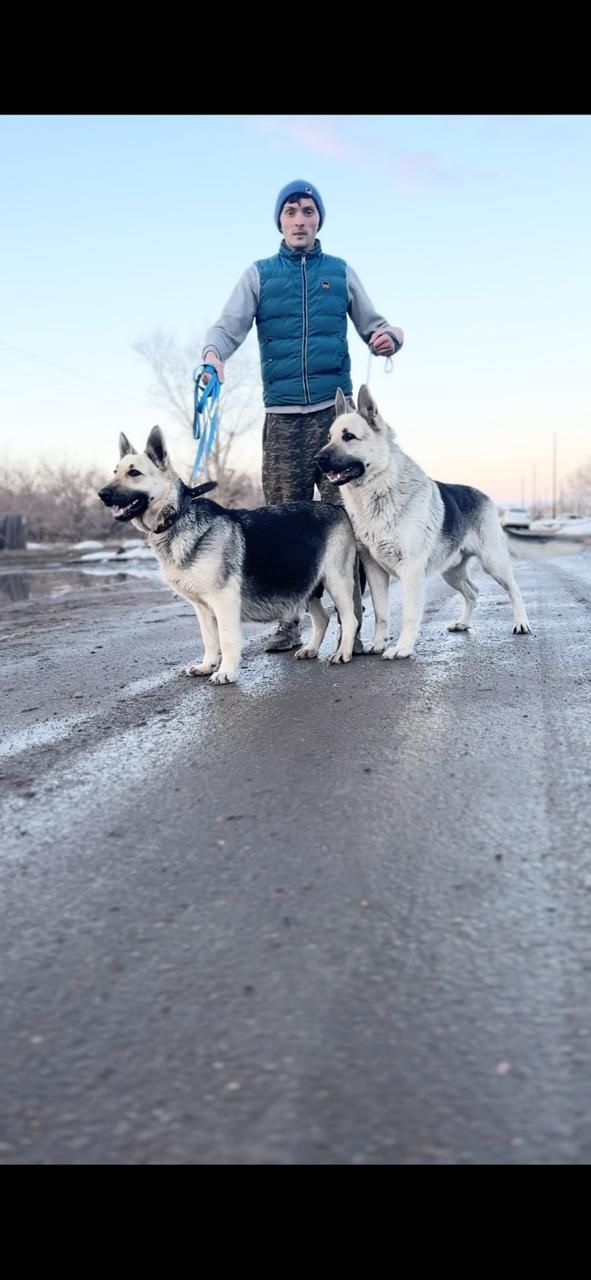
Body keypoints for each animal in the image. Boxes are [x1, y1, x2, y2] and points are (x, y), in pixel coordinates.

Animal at [97, 427, 360, 691]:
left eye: (134, 473)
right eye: (115, 472)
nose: (102, 494)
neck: (177, 517)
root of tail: (338, 508)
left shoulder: (224, 601)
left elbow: (227, 639)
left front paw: (226, 672)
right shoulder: (202, 608)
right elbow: (210, 640)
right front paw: (207, 666)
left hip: (336, 582)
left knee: (350, 619)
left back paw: (344, 651)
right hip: (306, 585)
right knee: (322, 619)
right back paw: (311, 649)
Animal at [315, 384, 532, 655]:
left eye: (349, 437)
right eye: (329, 438)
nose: (317, 459)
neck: (380, 489)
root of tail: (482, 494)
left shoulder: (411, 570)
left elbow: (408, 614)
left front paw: (402, 649)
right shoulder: (375, 570)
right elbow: (381, 613)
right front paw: (378, 643)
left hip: (494, 563)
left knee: (514, 590)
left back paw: (521, 623)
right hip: (451, 573)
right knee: (473, 592)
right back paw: (463, 623)